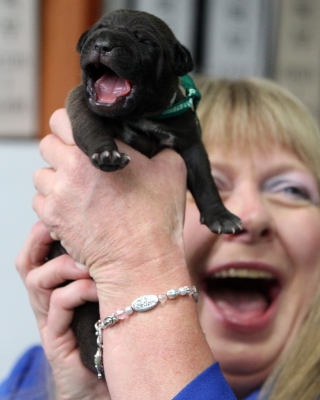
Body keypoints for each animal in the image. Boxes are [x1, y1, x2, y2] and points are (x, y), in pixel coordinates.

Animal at [51, 9, 241, 376]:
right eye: (97, 30)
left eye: (144, 40)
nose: (103, 44)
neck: (140, 117)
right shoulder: (80, 103)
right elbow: (91, 127)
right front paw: (106, 154)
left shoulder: (190, 141)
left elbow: (205, 179)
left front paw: (221, 215)